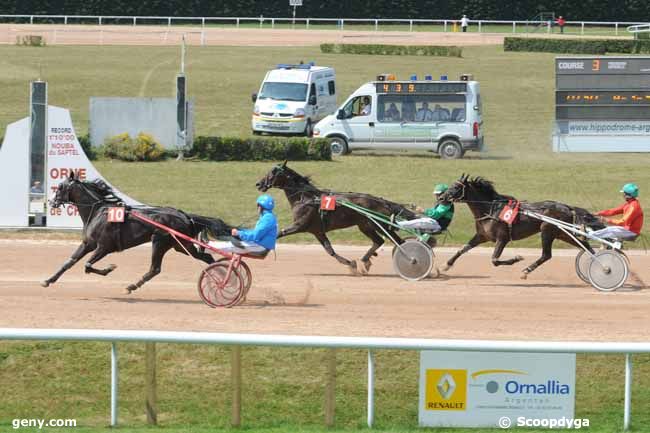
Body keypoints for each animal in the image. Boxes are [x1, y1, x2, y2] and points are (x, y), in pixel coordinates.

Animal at [43, 174, 230, 292]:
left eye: (60, 187)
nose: (51, 202)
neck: (99, 211)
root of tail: (184, 215)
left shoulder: (104, 247)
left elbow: (88, 266)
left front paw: (109, 268)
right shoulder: (88, 244)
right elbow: (69, 262)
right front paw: (48, 280)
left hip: (159, 241)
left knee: (155, 269)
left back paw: (132, 286)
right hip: (181, 245)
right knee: (206, 257)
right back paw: (221, 276)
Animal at [254, 162, 420, 274]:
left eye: (273, 172)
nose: (258, 184)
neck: (305, 198)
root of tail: (381, 201)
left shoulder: (299, 225)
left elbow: (278, 233)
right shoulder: (317, 231)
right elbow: (330, 250)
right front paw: (351, 264)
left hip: (380, 224)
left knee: (398, 242)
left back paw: (412, 260)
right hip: (365, 226)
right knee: (379, 241)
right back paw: (366, 260)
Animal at [436, 173, 604, 276]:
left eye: (456, 187)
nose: (441, 198)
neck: (491, 210)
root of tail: (566, 207)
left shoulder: (502, 238)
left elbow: (494, 260)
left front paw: (516, 258)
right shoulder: (482, 236)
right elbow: (463, 249)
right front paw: (446, 265)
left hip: (547, 230)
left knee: (546, 255)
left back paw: (526, 270)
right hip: (562, 233)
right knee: (586, 247)